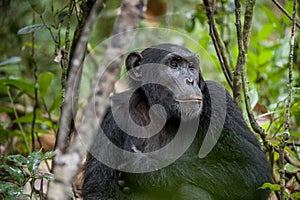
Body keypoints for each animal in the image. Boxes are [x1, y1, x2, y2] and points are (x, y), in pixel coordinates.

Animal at [82, 44, 272, 200]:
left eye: (191, 66)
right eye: (173, 64)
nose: (190, 80)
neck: (160, 111)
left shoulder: (220, 102)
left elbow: (251, 169)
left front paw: (145, 168)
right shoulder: (109, 117)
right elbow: (98, 190)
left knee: (190, 190)